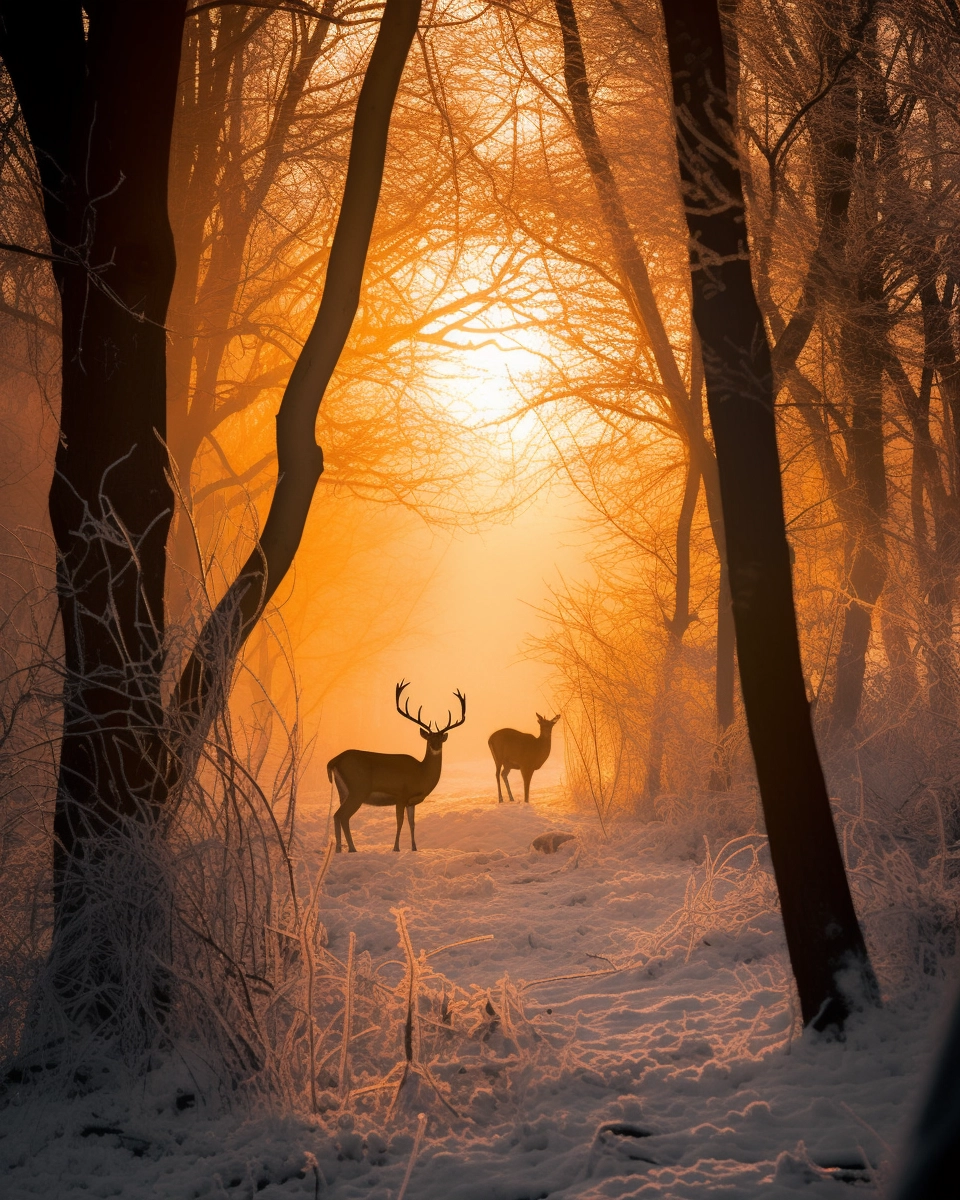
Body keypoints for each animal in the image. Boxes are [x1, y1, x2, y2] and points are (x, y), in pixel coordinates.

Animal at [326, 686, 468, 854]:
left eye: (441, 739)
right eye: (429, 739)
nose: (435, 747)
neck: (421, 774)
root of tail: (334, 760)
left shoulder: (411, 801)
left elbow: (412, 823)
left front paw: (414, 848)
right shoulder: (401, 795)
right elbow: (400, 822)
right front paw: (396, 848)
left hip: (343, 791)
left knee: (338, 816)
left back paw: (340, 849)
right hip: (358, 789)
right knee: (342, 815)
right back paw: (351, 849)